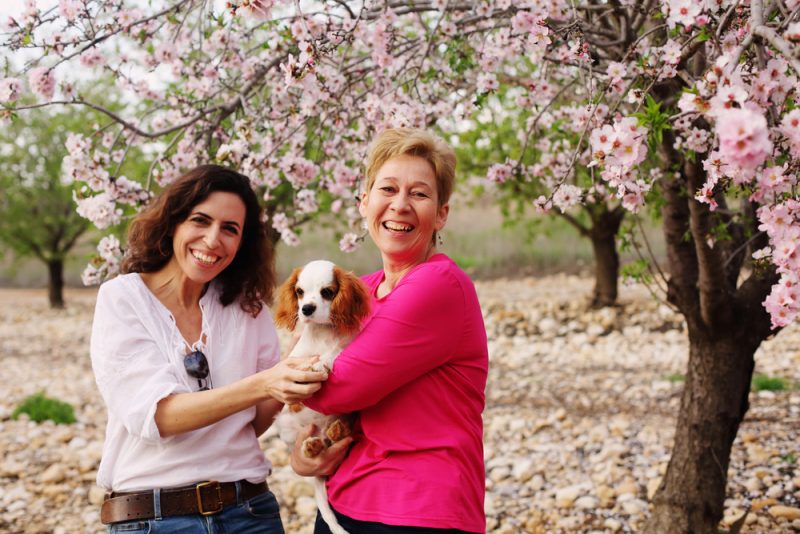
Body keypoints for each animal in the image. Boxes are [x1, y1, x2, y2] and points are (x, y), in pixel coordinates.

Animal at [272, 260, 372, 534]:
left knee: (338, 432)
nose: (306, 308)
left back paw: (336, 431)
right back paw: (312, 445)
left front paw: (321, 363)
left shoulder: (348, 345)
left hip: (347, 416)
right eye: (299, 292)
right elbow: (297, 366)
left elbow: (335, 352)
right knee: (309, 446)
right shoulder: (295, 357)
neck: (322, 332)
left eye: (327, 292)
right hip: (286, 426)